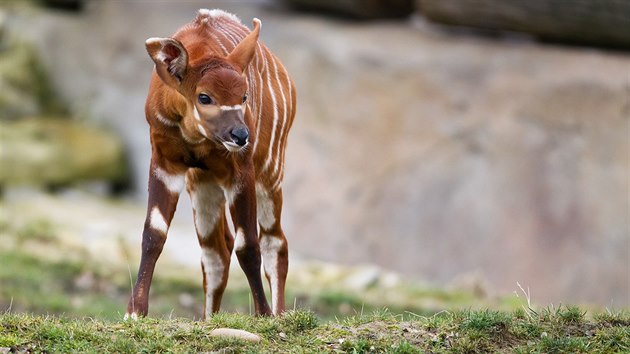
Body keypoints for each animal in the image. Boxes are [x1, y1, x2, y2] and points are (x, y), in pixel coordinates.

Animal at [128, 9, 298, 318]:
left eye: (243, 96)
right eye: (204, 96)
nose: (241, 136)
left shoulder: (241, 171)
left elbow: (249, 245)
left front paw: (264, 315)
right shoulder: (165, 163)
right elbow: (153, 233)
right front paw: (134, 312)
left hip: (270, 169)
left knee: (274, 241)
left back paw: (277, 314)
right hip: (202, 182)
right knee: (216, 250)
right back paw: (209, 319)